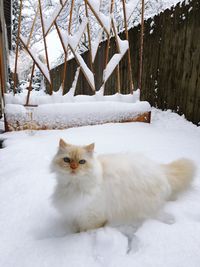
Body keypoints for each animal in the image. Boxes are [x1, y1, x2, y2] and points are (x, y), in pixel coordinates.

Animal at [50, 139, 196, 233]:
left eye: (82, 162)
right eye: (67, 160)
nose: (73, 167)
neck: (72, 186)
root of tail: (159, 168)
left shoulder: (92, 216)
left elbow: (86, 229)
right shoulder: (75, 212)